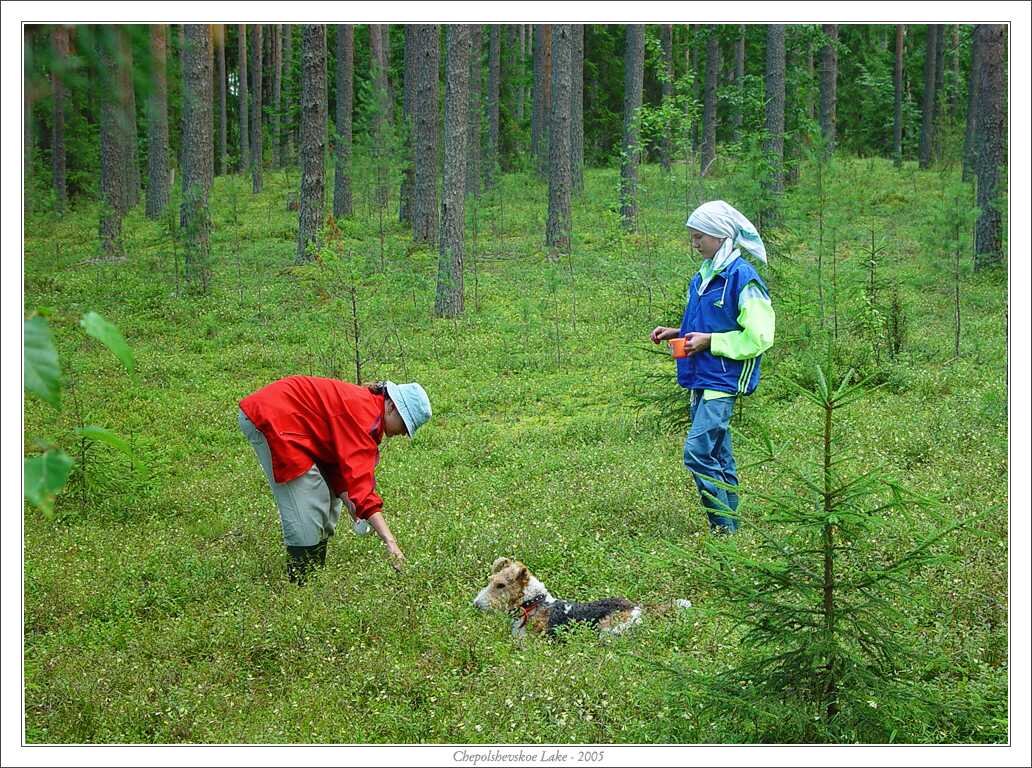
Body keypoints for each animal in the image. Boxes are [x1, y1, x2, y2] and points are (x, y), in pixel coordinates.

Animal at [474, 553, 693, 640]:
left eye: (501, 585)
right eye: (490, 579)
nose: (475, 604)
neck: (534, 604)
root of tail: (637, 607)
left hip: (607, 630)